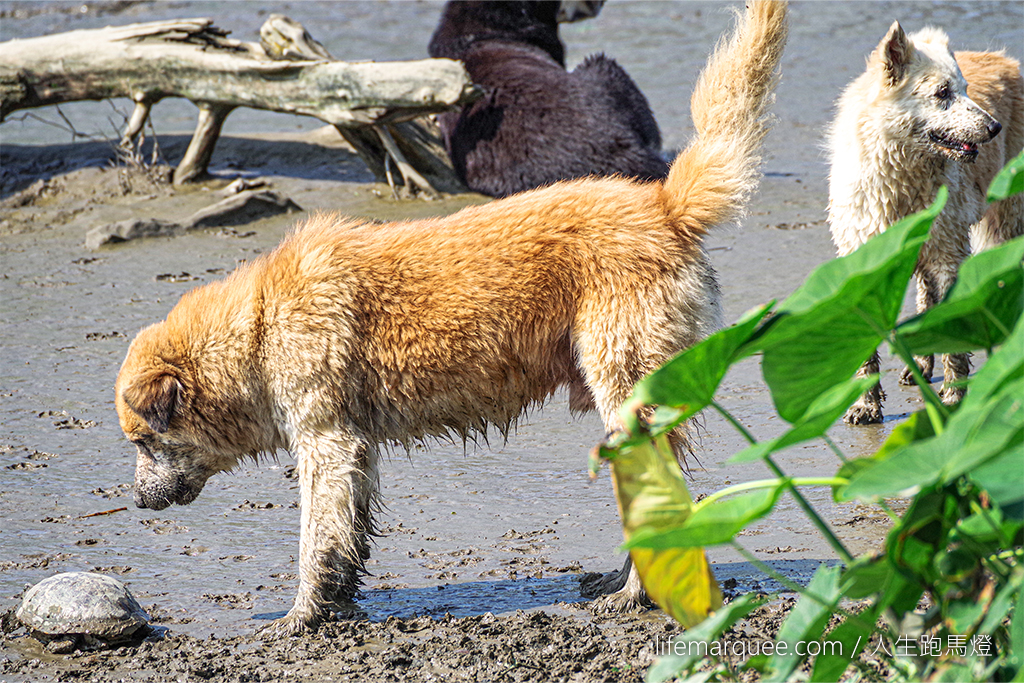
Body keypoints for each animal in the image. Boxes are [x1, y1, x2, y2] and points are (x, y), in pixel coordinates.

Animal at [116, 0, 786, 634]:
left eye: (145, 440)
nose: (139, 503)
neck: (259, 325)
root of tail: (664, 206)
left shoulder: (326, 445)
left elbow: (316, 539)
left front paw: (302, 615)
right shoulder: (355, 449)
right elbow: (350, 535)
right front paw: (339, 604)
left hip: (625, 392)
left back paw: (634, 593)